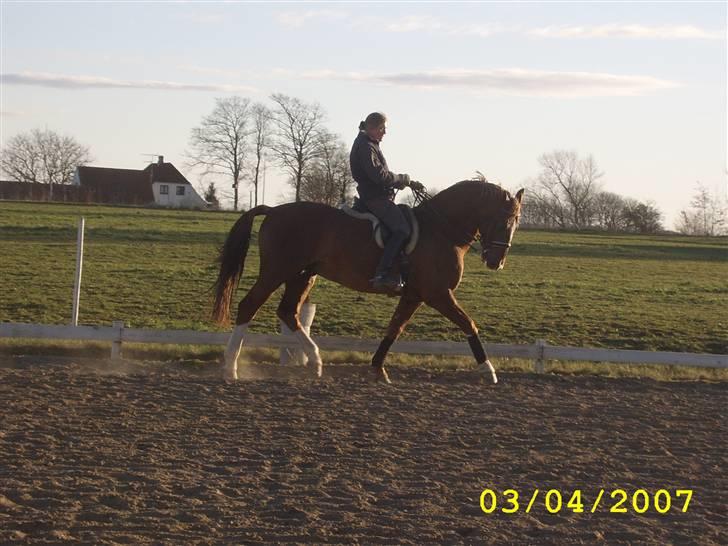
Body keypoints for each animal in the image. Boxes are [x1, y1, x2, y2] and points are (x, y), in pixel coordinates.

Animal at [210, 178, 524, 382]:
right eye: (505, 220)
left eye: (517, 222)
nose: (496, 262)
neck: (442, 230)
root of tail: (274, 210)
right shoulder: (438, 293)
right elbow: (468, 323)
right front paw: (488, 370)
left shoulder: (414, 295)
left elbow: (394, 329)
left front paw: (377, 368)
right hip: (277, 271)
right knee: (249, 305)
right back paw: (231, 369)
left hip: (303, 275)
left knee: (288, 311)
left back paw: (316, 362)